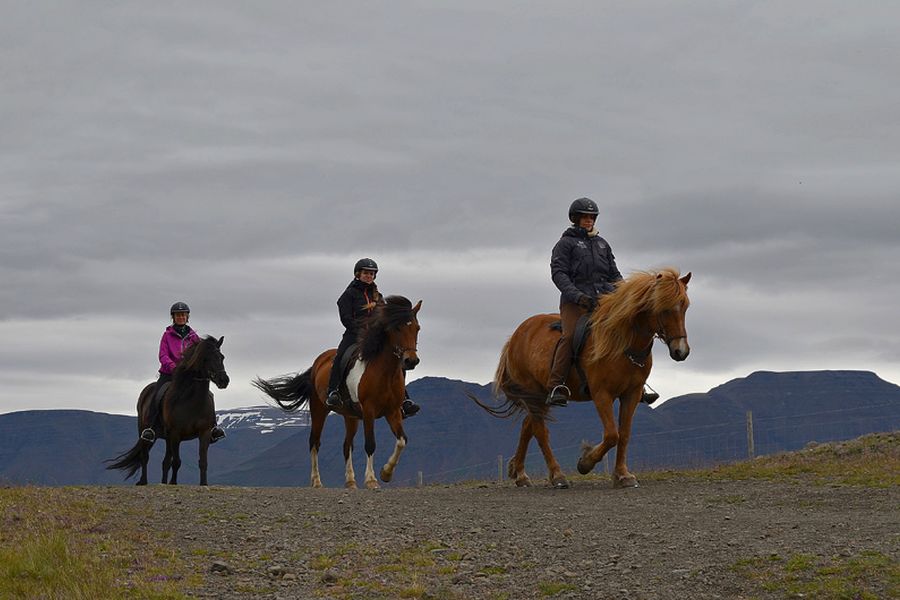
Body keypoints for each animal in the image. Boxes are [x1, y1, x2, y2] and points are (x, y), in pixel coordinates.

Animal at [106, 336, 229, 486]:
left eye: (222, 357)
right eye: (206, 358)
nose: (224, 380)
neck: (192, 401)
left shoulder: (204, 433)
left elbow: (202, 462)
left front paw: (203, 484)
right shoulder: (176, 434)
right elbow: (176, 462)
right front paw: (173, 483)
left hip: (167, 438)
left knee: (165, 462)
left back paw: (163, 482)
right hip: (146, 432)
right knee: (145, 456)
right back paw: (143, 481)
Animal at [253, 294, 422, 488]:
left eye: (417, 328)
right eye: (397, 328)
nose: (411, 361)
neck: (384, 372)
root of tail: (317, 363)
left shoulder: (393, 411)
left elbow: (402, 440)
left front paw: (386, 473)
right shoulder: (369, 411)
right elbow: (370, 444)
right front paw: (371, 480)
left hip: (351, 416)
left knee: (346, 445)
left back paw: (350, 481)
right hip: (319, 409)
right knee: (314, 442)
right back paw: (317, 481)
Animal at [474, 270, 692, 490]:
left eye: (685, 306)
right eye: (664, 309)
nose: (681, 351)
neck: (621, 342)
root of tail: (516, 336)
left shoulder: (631, 394)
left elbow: (624, 434)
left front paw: (623, 475)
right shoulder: (601, 394)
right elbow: (612, 435)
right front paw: (586, 462)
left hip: (540, 396)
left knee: (528, 426)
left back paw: (520, 474)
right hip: (533, 394)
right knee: (540, 431)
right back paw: (557, 475)